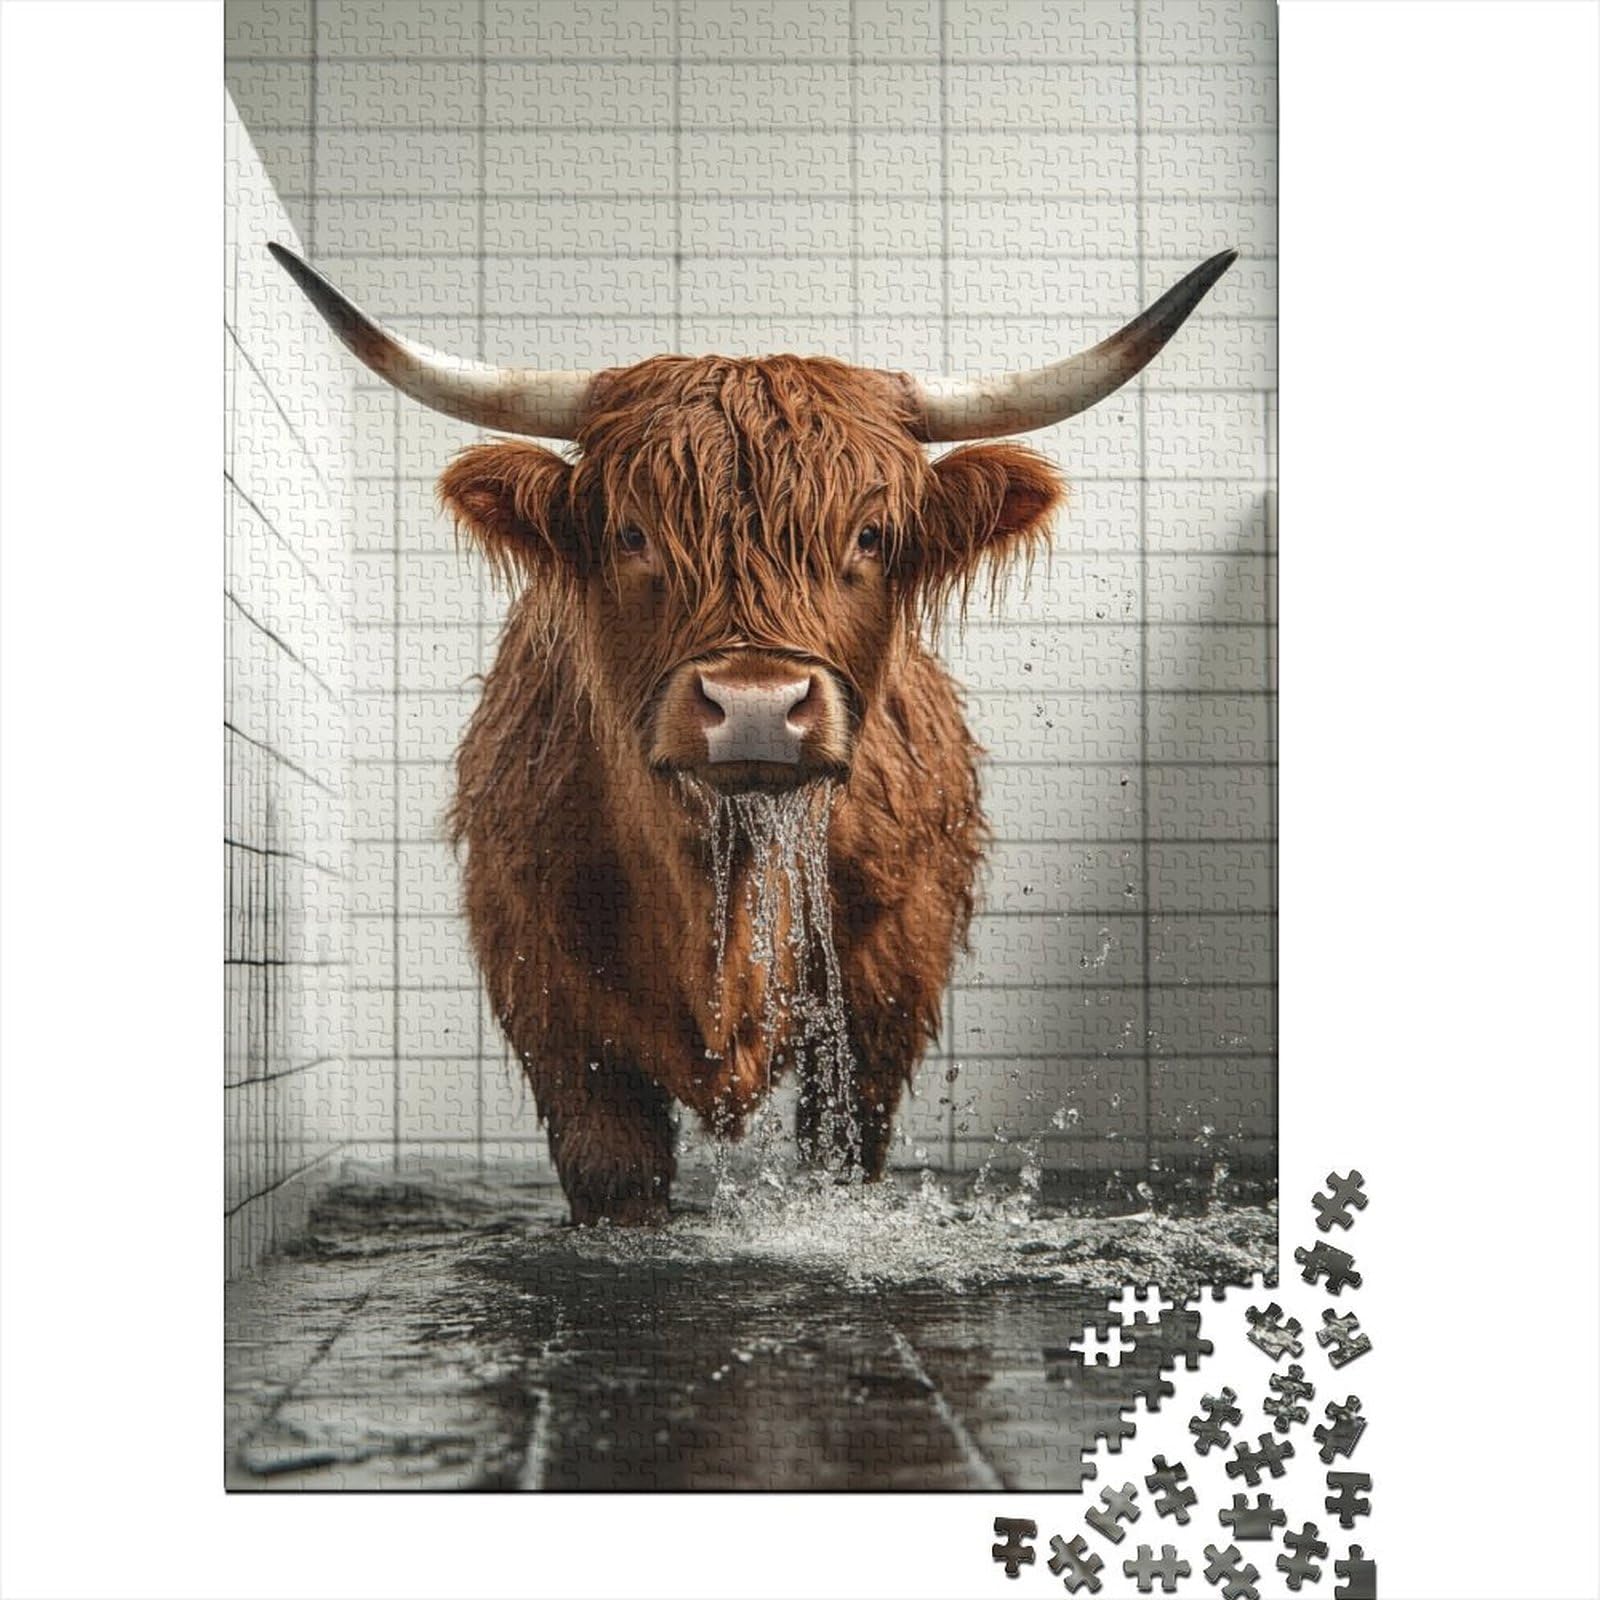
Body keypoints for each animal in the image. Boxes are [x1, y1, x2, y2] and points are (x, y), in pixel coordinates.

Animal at [272, 242, 1235, 1224]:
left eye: (870, 535)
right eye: (632, 533)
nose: (759, 704)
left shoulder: (882, 994)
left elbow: (839, 1156)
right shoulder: (554, 1002)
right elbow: (615, 1173)